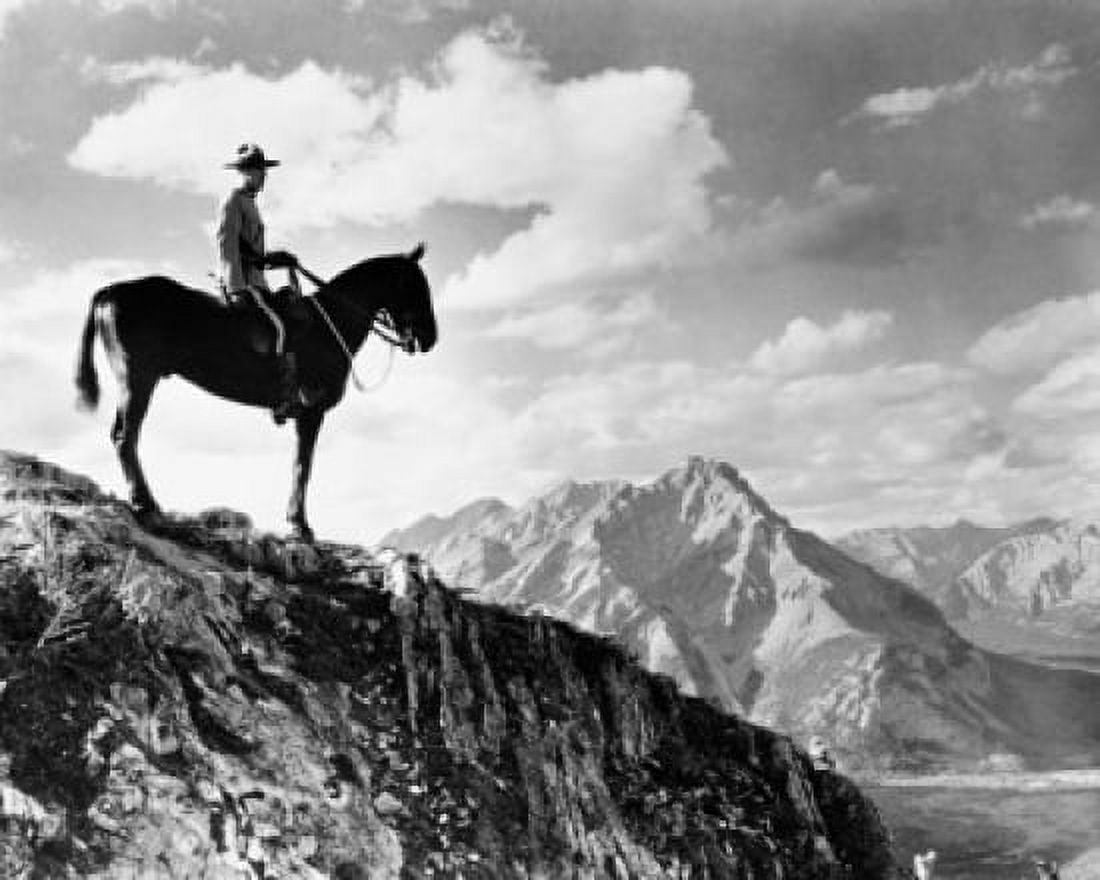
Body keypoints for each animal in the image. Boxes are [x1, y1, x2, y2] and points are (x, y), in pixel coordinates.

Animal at [74, 244, 437, 543]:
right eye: (416, 286)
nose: (430, 338)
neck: (330, 323)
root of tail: (110, 291)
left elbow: (300, 465)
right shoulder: (311, 412)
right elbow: (302, 466)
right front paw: (300, 526)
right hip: (138, 379)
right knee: (125, 436)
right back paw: (145, 504)